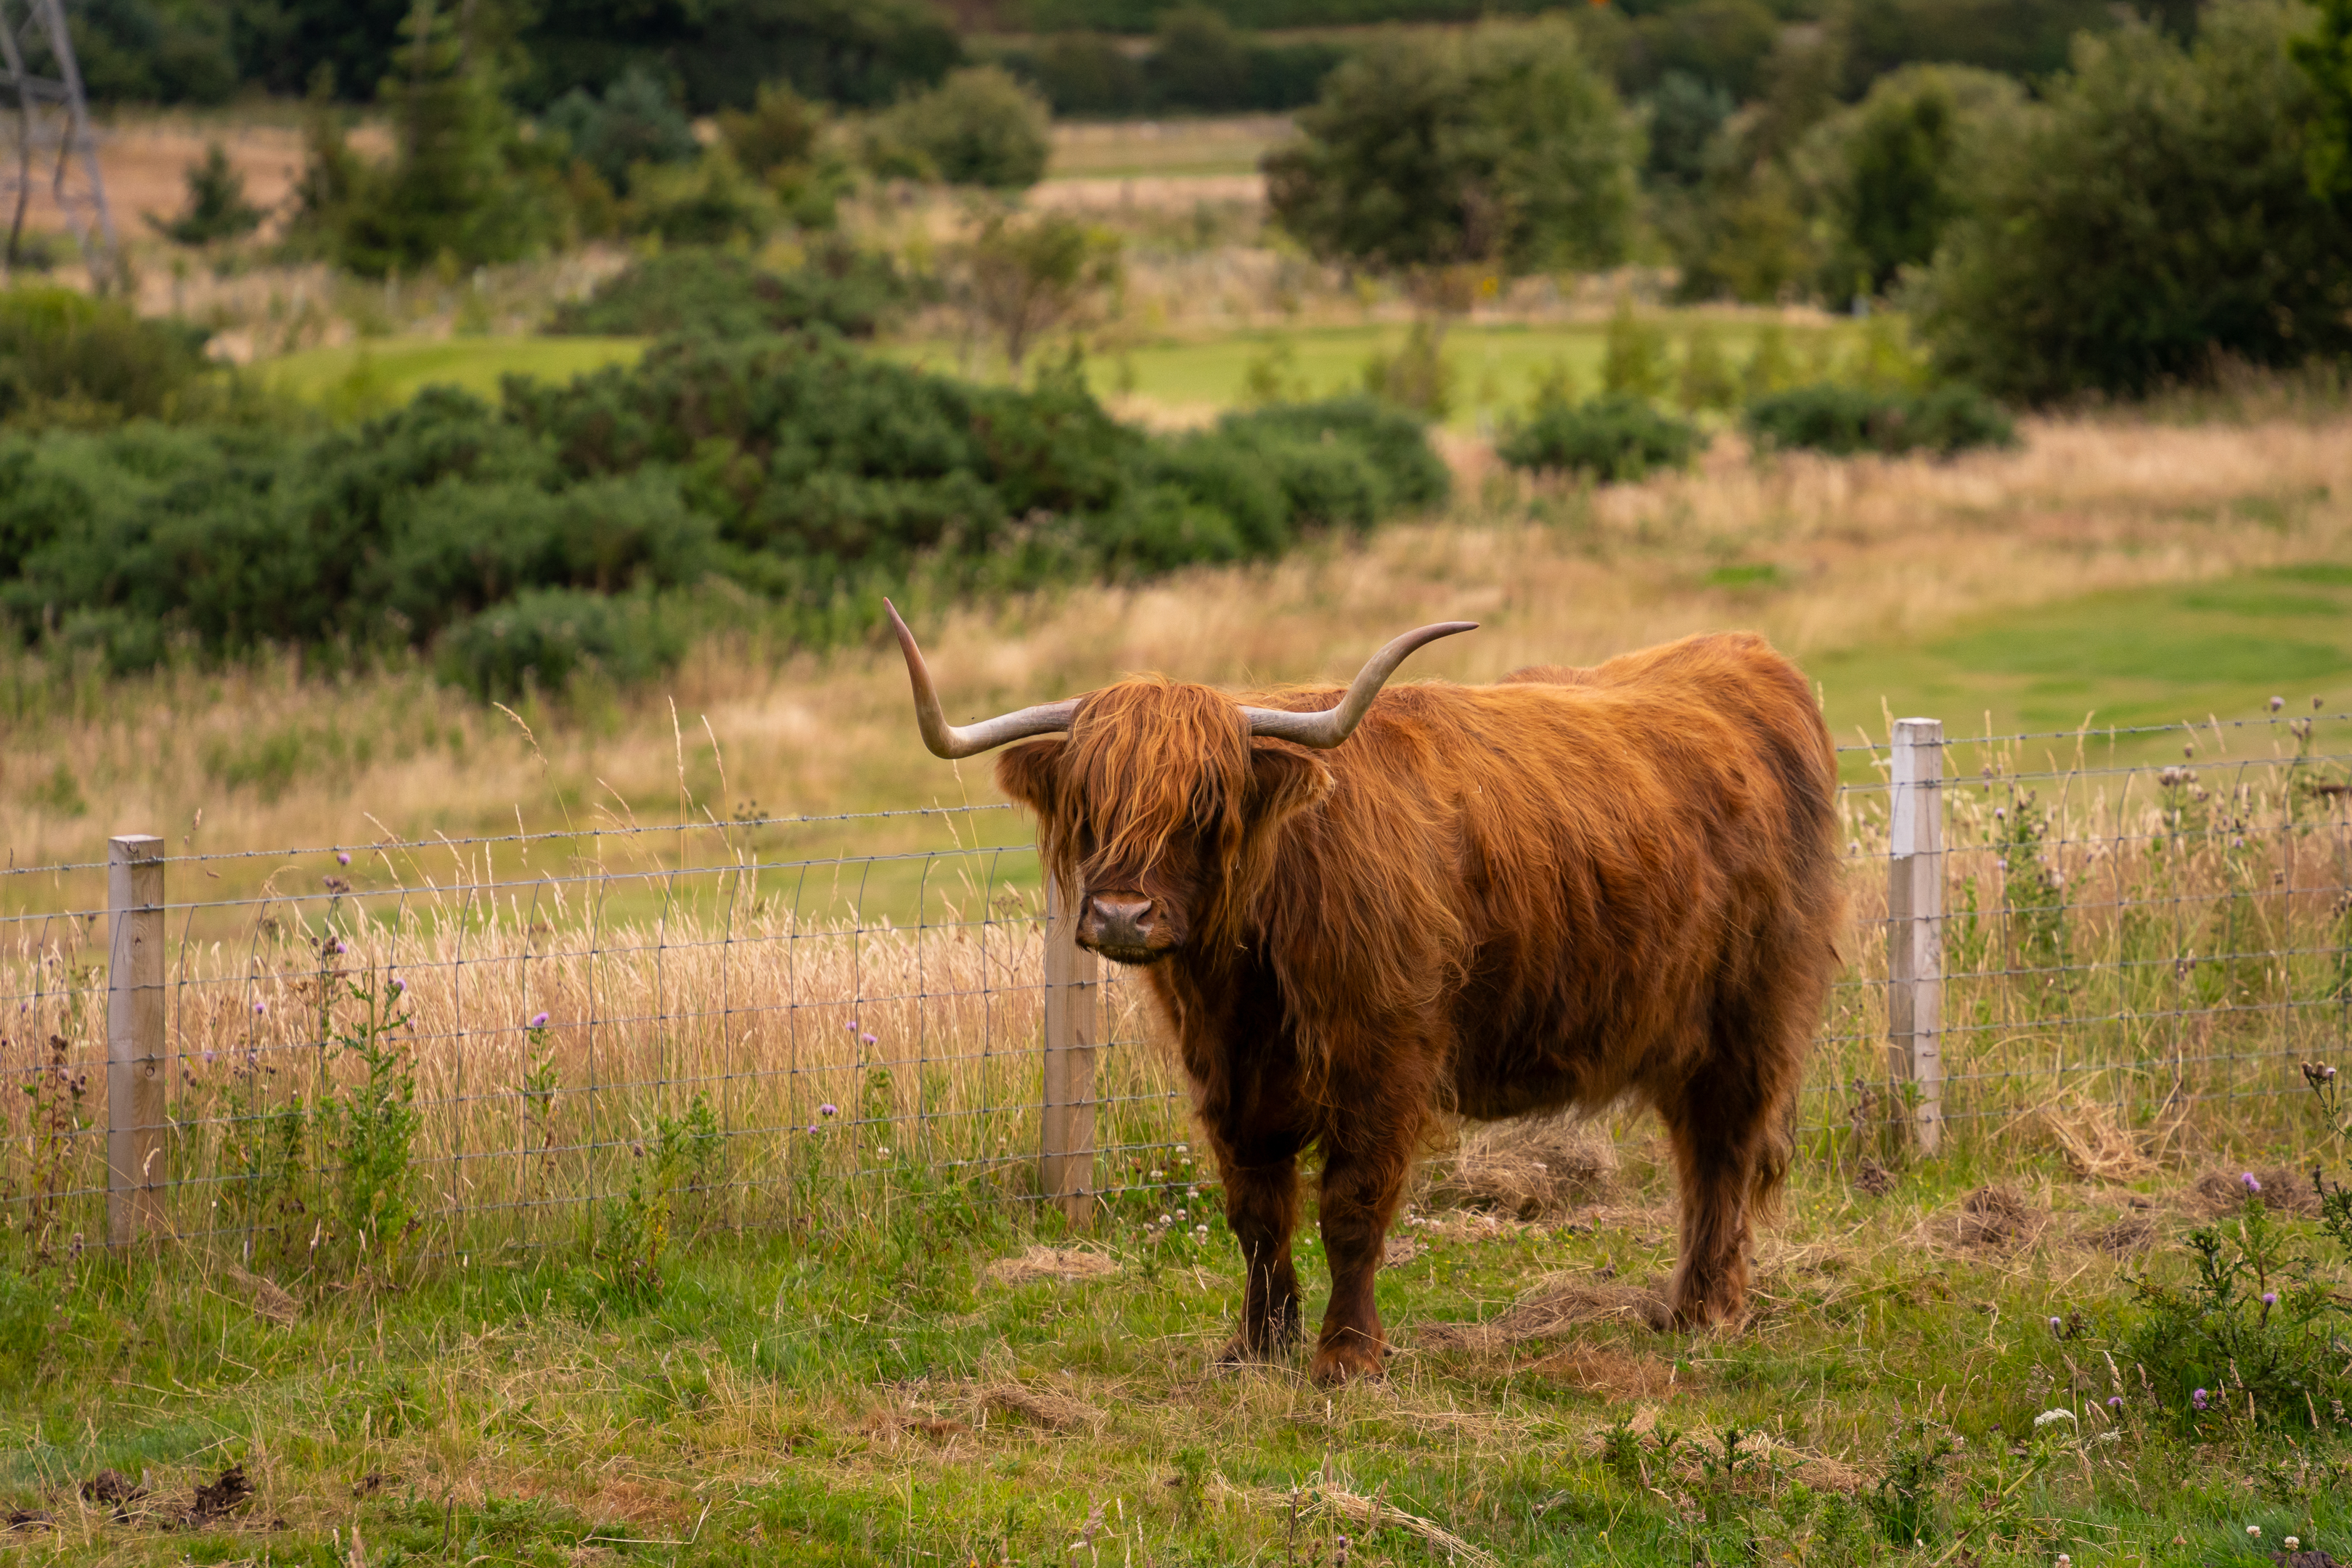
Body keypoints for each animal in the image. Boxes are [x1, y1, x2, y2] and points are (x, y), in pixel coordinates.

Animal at [884, 606, 1834, 1382]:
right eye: (1089, 802)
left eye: (1205, 805)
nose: (1121, 914)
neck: (1249, 970)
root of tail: (1746, 656)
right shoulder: (1227, 1074)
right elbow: (1256, 1213)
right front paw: (1256, 1346)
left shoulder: (1382, 1057)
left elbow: (1350, 1207)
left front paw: (1346, 1356)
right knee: (1700, 1152)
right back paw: (1684, 1307)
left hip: (1751, 1014)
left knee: (1723, 1150)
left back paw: (1708, 1311)